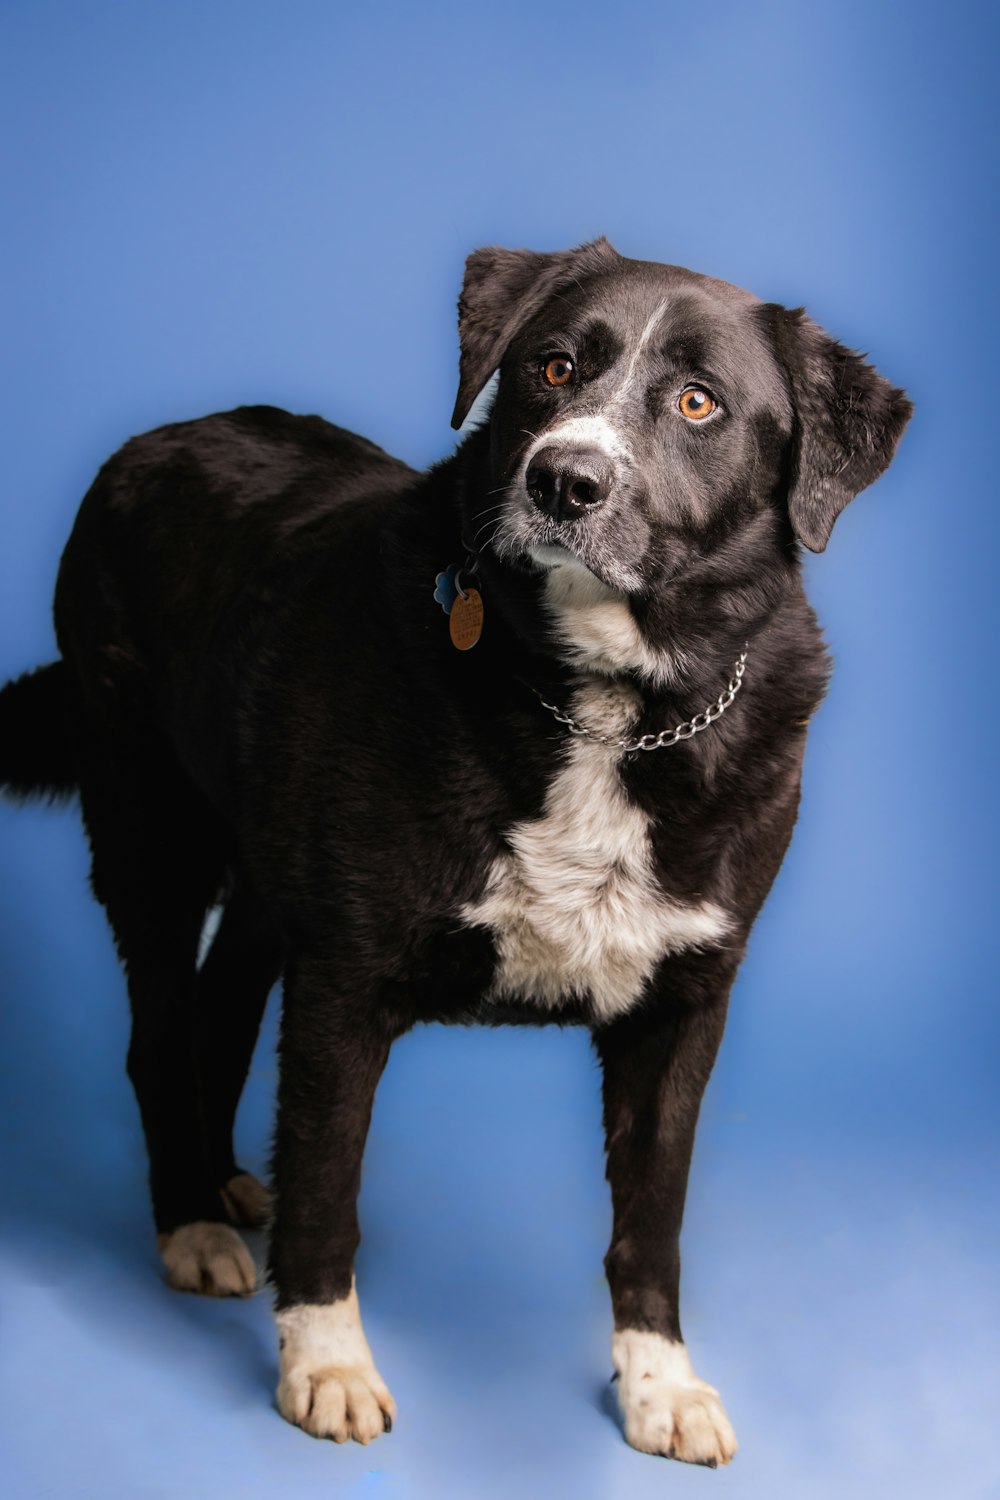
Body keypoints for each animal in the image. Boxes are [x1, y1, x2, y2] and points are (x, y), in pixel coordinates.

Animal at [0, 240, 911, 1470]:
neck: (605, 708)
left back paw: (228, 1181)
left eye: (697, 402)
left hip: (263, 872)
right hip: (151, 828)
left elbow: (653, 1219)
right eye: (552, 366)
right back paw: (189, 1217)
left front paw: (660, 1383)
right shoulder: (346, 979)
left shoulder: (684, 1003)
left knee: (221, 1008)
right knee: (158, 1032)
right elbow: (329, 1188)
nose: (564, 481)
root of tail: (161, 435)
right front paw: (327, 1363)